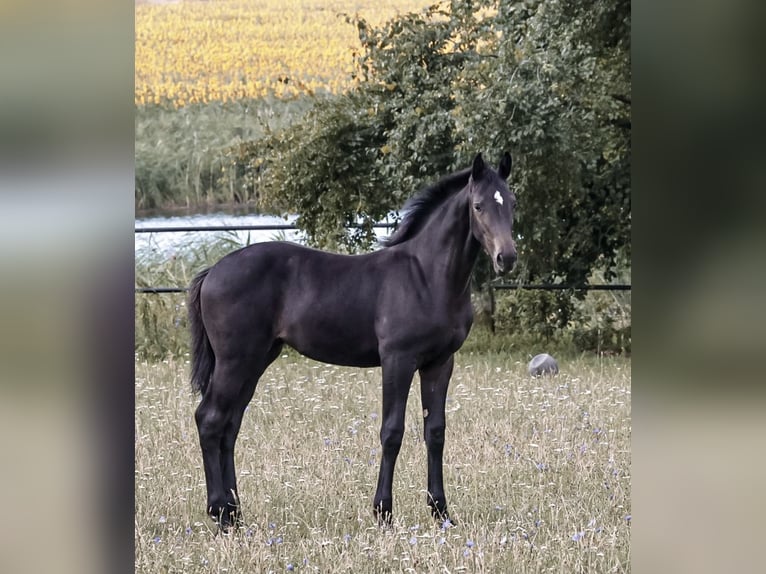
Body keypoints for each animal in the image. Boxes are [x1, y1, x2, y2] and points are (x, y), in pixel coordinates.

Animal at [188, 152, 517, 529]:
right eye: (478, 206)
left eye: (512, 203)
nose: (507, 258)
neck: (427, 276)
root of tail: (212, 271)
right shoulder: (397, 359)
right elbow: (392, 432)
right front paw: (383, 512)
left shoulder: (439, 363)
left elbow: (435, 432)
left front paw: (441, 512)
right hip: (234, 360)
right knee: (210, 419)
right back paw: (219, 512)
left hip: (256, 360)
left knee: (230, 426)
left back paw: (236, 514)